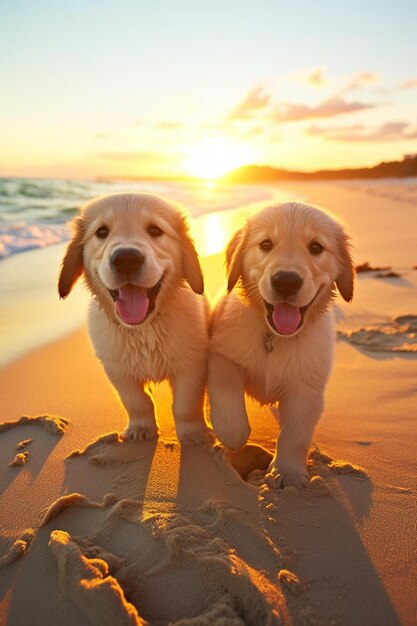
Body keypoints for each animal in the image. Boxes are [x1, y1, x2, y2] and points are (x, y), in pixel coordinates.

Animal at [58, 193, 211, 442]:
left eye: (155, 230)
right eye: (102, 231)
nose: (126, 259)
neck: (144, 329)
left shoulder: (192, 364)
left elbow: (185, 404)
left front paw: (193, 432)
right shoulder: (117, 370)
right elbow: (137, 402)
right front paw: (141, 428)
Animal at [206, 202, 352, 486]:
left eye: (316, 247)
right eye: (266, 244)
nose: (286, 281)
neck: (274, 337)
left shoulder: (306, 388)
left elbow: (295, 434)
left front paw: (288, 473)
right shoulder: (221, 355)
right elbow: (227, 395)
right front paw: (234, 436)